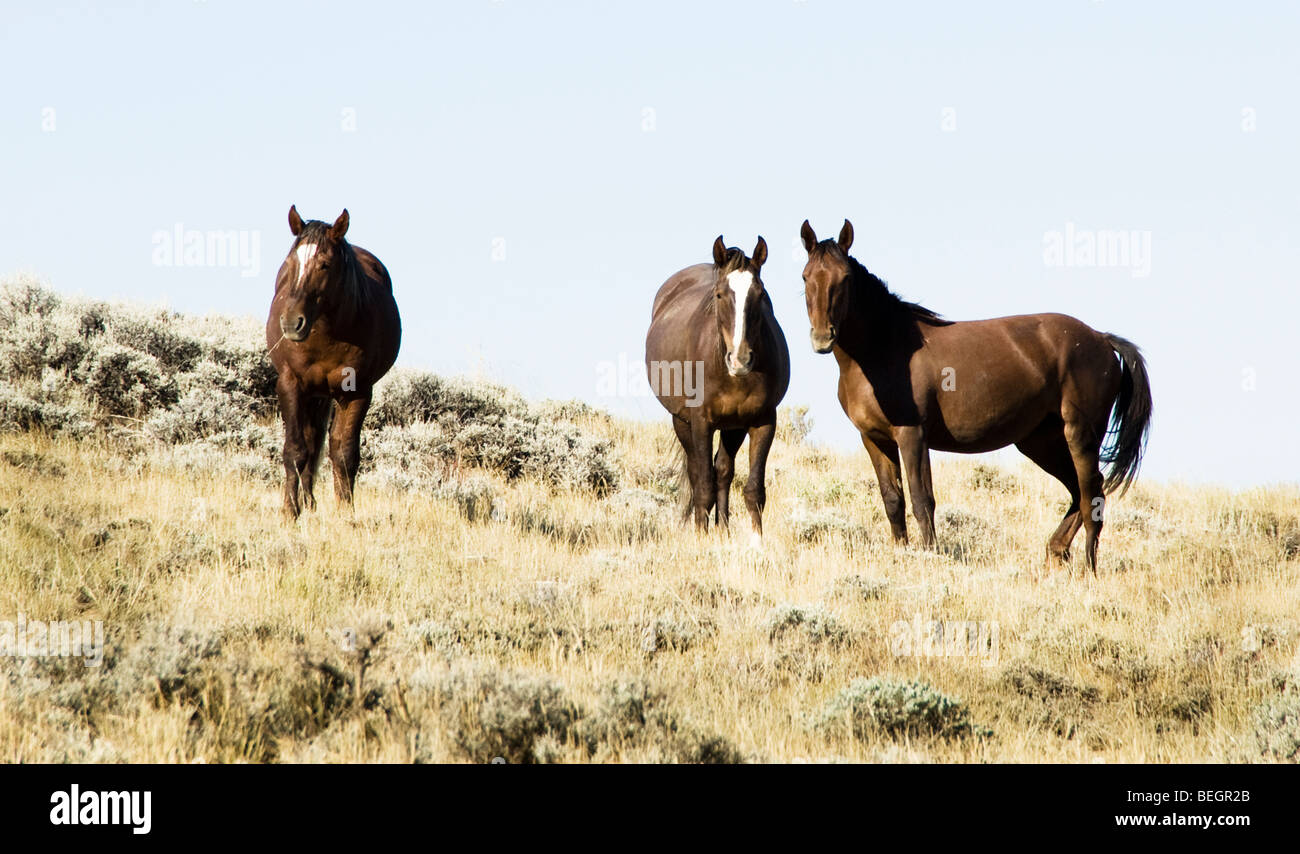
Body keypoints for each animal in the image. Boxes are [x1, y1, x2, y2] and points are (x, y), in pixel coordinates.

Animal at [265, 205, 400, 519]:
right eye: (290, 262)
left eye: (325, 264)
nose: (292, 323)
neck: (325, 333)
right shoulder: (290, 384)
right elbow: (295, 450)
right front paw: (290, 511)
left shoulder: (357, 391)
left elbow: (344, 453)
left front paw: (346, 512)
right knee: (309, 442)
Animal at [642, 232, 785, 543]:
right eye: (719, 295)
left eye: (760, 294)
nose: (740, 358)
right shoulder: (701, 422)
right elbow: (703, 485)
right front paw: (701, 539)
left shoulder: (762, 421)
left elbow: (753, 489)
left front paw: (757, 543)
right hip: (682, 422)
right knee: (699, 474)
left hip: (733, 427)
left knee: (723, 471)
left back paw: (723, 528)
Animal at [795, 218, 1154, 571]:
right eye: (806, 277)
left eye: (845, 278)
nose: (822, 338)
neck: (882, 349)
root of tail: (1101, 338)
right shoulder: (874, 438)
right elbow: (893, 500)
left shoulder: (913, 435)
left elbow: (922, 500)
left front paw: (930, 558)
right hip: (1040, 441)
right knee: (1079, 492)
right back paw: (1056, 551)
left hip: (1079, 434)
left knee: (1092, 496)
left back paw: (1088, 569)